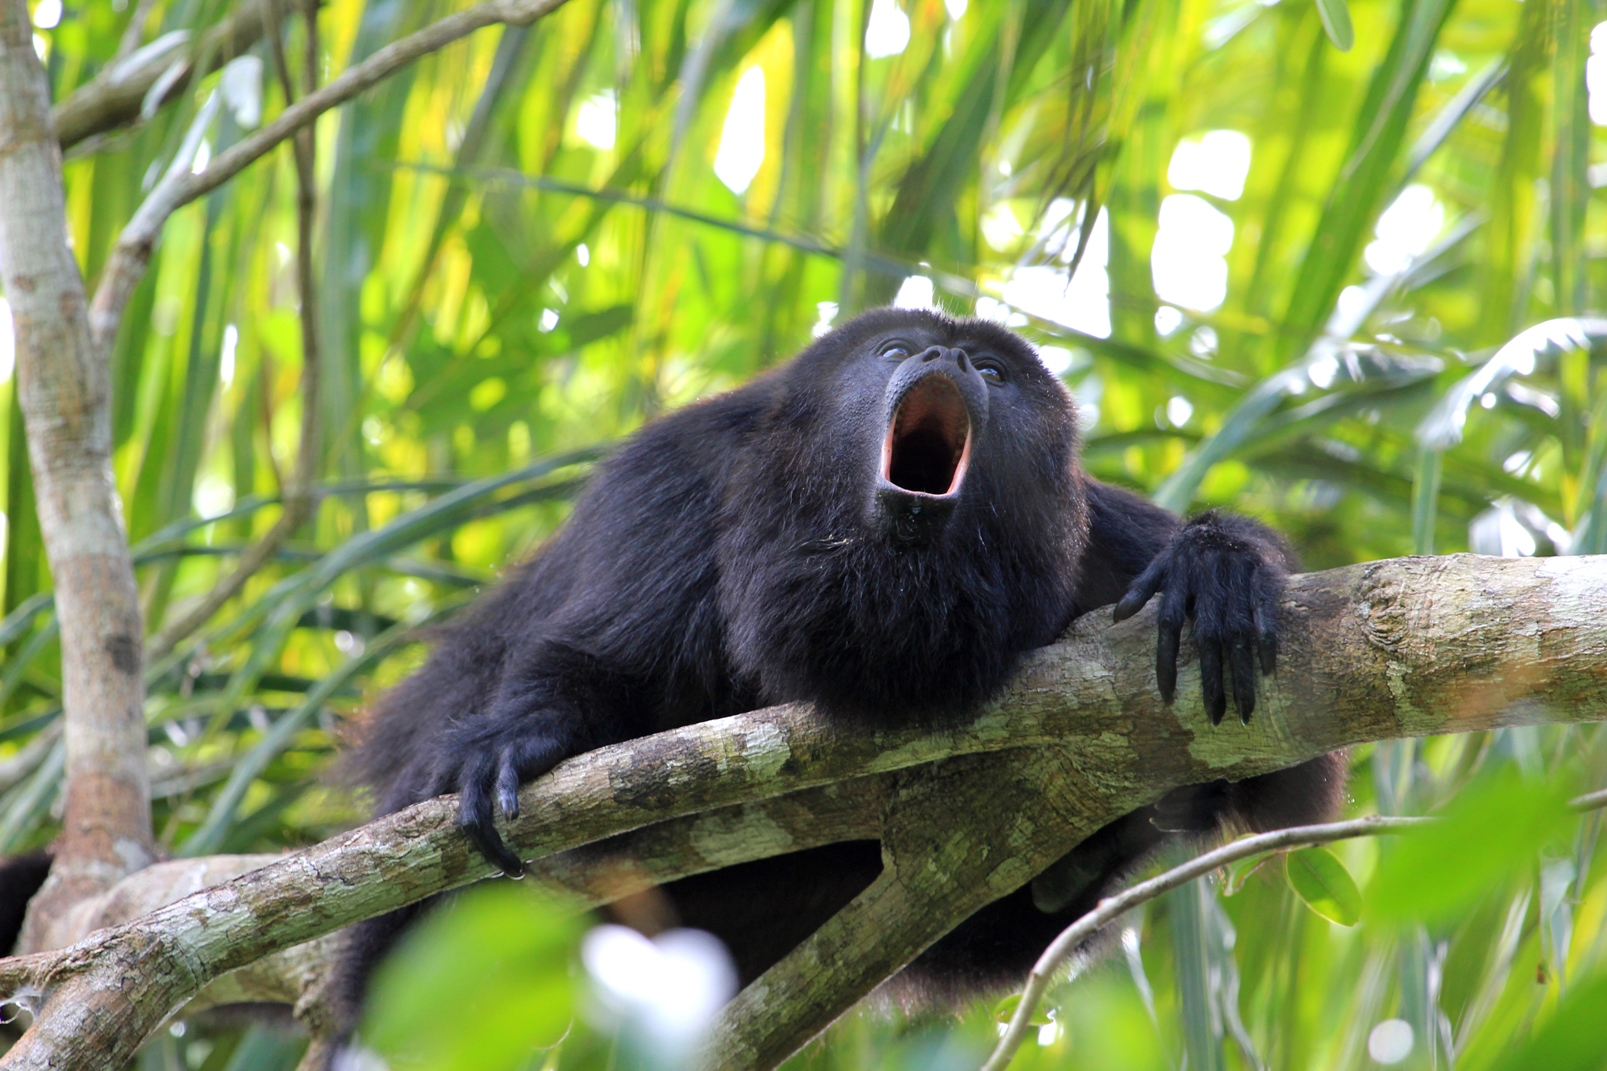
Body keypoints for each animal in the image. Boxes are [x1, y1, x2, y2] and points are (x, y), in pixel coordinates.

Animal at [335, 307, 1343, 1016]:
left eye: (990, 370)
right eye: (896, 351)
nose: (943, 362)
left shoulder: (1092, 536)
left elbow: (1290, 771)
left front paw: (1213, 567)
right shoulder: (673, 480)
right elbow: (597, 660)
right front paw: (523, 736)